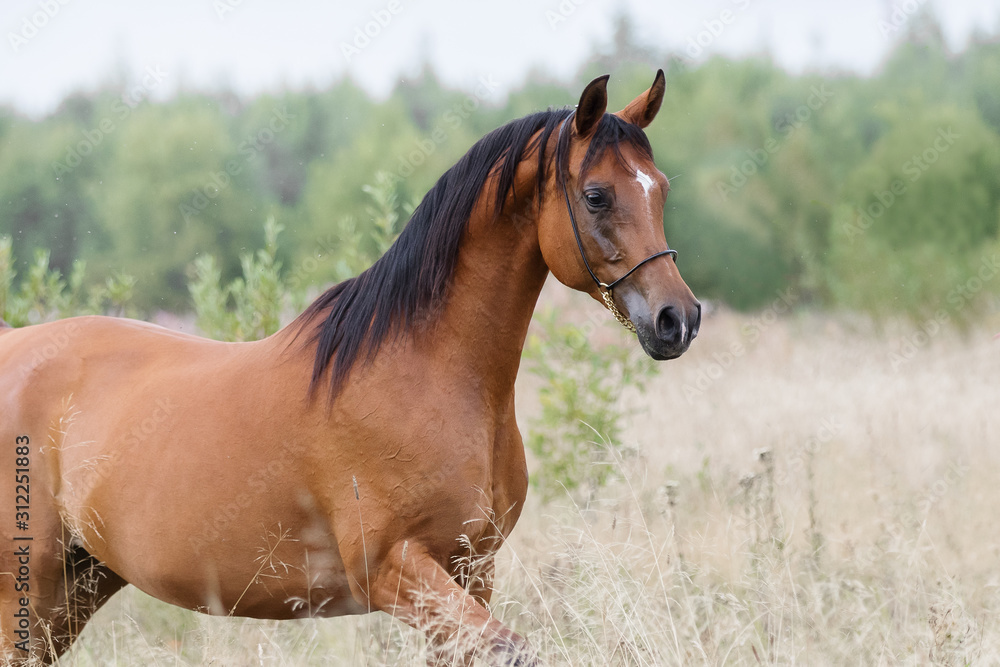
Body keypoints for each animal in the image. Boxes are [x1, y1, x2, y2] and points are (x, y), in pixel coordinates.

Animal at [0, 70, 700, 665]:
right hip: (26, 594)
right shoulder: (393, 569)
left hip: (77, 588)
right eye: (596, 196)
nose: (678, 319)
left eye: (661, 189)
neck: (427, 375)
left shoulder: (472, 572)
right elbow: (511, 649)